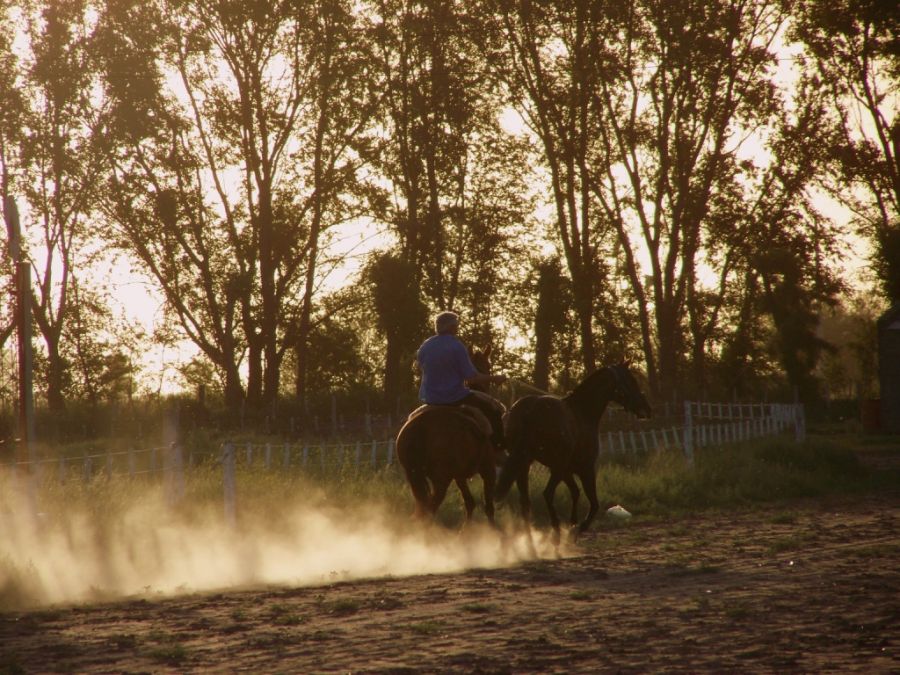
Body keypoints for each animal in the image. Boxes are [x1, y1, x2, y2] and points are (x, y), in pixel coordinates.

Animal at [396, 346, 502, 524]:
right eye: (488, 365)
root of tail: (421, 426)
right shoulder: (488, 470)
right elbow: (488, 507)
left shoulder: (459, 475)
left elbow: (469, 503)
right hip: (441, 479)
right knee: (430, 509)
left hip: (414, 475)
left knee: (424, 509)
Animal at [496, 362, 652, 540]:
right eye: (631, 380)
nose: (646, 409)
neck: (582, 413)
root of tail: (530, 409)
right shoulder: (585, 468)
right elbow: (593, 502)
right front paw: (580, 526)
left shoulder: (566, 470)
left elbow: (576, 492)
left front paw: (573, 522)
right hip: (552, 467)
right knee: (547, 494)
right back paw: (555, 530)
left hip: (524, 464)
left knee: (525, 501)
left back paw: (531, 539)